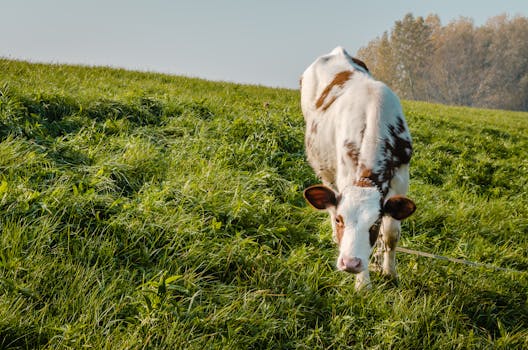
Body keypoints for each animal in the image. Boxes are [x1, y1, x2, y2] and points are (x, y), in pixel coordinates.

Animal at [302, 46, 416, 290]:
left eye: (375, 223)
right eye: (340, 220)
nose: (350, 263)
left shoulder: (401, 178)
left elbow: (391, 234)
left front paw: (389, 273)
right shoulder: (346, 175)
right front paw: (363, 285)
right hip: (325, 169)